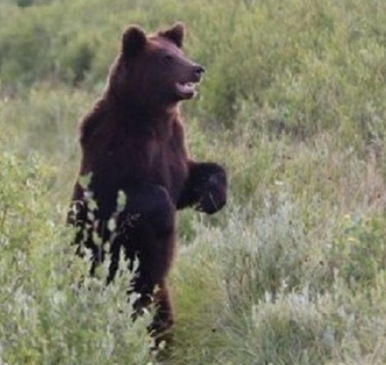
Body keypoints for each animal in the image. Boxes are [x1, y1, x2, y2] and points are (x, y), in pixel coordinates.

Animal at [68, 22, 228, 342]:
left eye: (180, 51)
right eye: (167, 58)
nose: (197, 69)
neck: (151, 118)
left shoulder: (172, 146)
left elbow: (191, 178)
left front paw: (213, 196)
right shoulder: (112, 148)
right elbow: (129, 194)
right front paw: (165, 218)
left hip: (157, 294)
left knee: (159, 320)